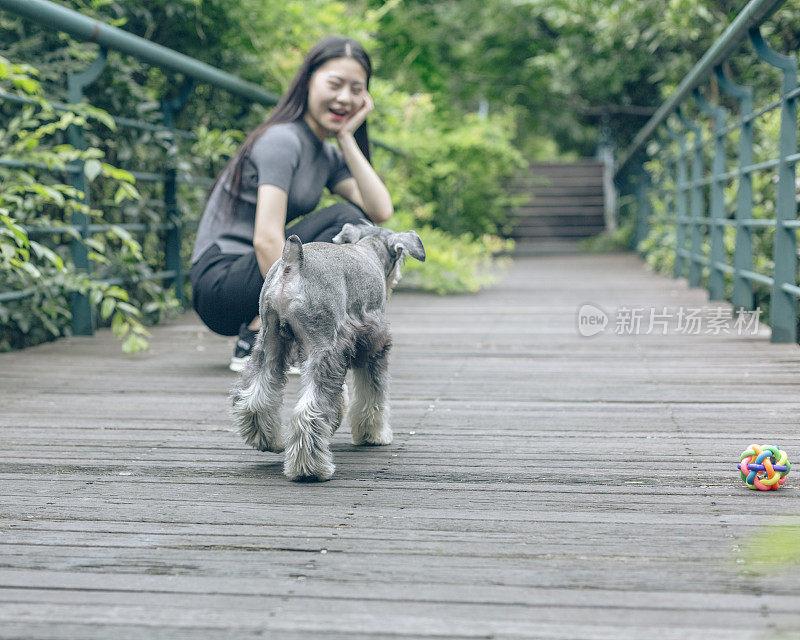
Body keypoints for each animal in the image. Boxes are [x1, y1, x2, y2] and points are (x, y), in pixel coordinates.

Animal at [233, 225, 424, 480]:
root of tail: (292, 262)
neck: (369, 250)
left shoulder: (336, 349)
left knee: (254, 397)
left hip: (270, 342)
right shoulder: (372, 346)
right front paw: (373, 434)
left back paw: (271, 440)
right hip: (320, 344)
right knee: (307, 411)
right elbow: (373, 394)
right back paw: (310, 469)